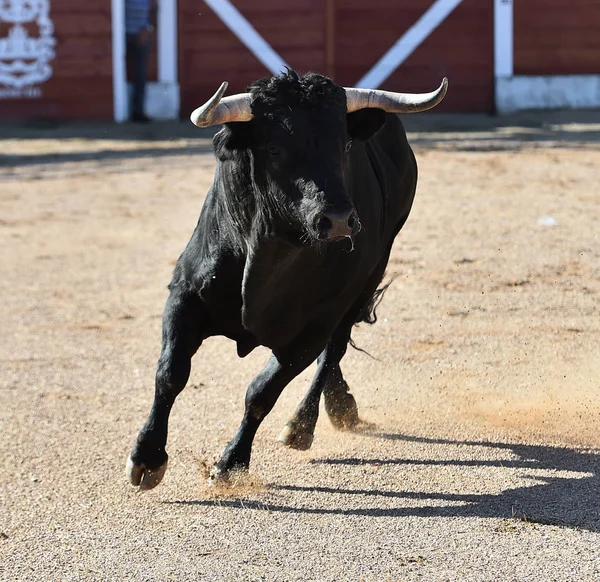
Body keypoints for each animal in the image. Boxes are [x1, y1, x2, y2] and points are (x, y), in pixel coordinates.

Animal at [125, 70, 446, 490]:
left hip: (367, 278)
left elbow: (263, 390)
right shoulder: (185, 296)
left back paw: (303, 424)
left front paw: (231, 463)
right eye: (275, 149)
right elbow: (170, 373)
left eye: (345, 144)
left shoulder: (314, 325)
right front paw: (147, 457)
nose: (339, 220)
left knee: (333, 350)